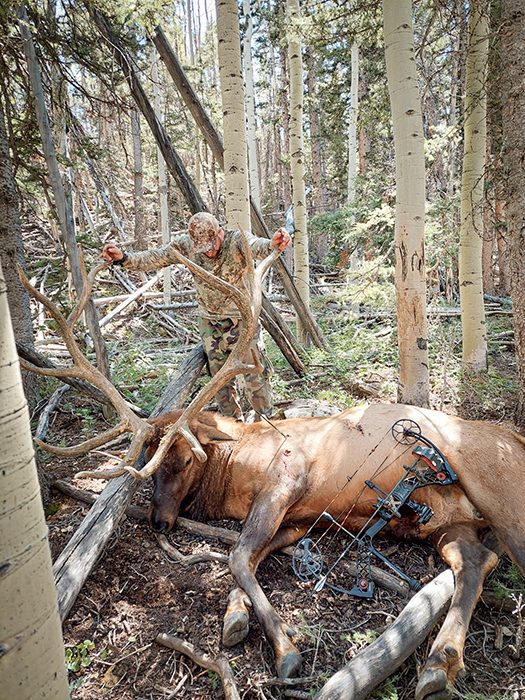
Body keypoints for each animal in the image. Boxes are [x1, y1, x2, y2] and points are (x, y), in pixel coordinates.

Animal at [19, 239, 525, 700]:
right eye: (145, 459)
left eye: (185, 458)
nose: (159, 521)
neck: (234, 480)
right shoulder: (301, 519)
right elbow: (251, 558)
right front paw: (236, 616)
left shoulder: (286, 481)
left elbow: (238, 555)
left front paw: (286, 650)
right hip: (449, 525)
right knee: (476, 561)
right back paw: (439, 663)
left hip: (494, 490)